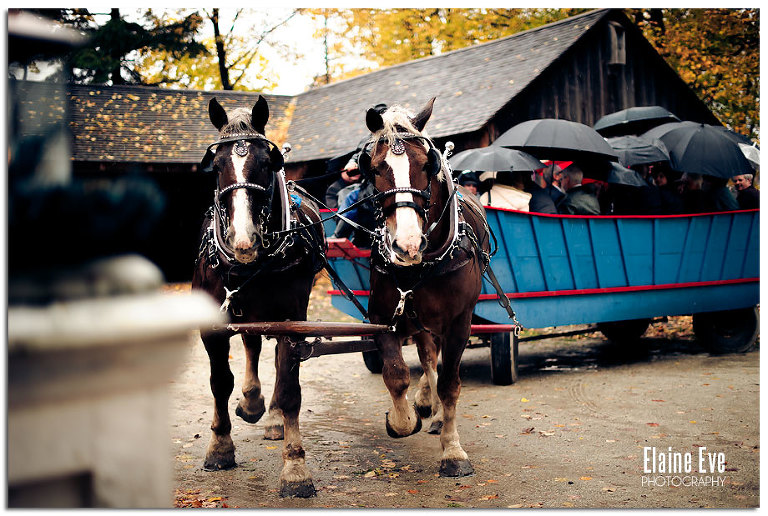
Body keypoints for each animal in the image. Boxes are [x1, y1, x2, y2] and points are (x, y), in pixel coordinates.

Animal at [192, 96, 325, 497]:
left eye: (268, 162)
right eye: (217, 165)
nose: (243, 238)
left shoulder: (293, 321)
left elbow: (291, 386)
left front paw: (295, 468)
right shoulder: (213, 323)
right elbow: (220, 382)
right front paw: (220, 447)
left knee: (278, 362)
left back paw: (274, 416)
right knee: (251, 345)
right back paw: (251, 401)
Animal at [357, 98, 491, 477]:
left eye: (427, 165)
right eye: (374, 168)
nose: (407, 245)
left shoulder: (460, 322)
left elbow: (451, 384)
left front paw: (453, 451)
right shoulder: (382, 317)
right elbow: (396, 373)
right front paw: (403, 420)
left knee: (437, 363)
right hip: (418, 321)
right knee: (427, 358)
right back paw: (424, 404)